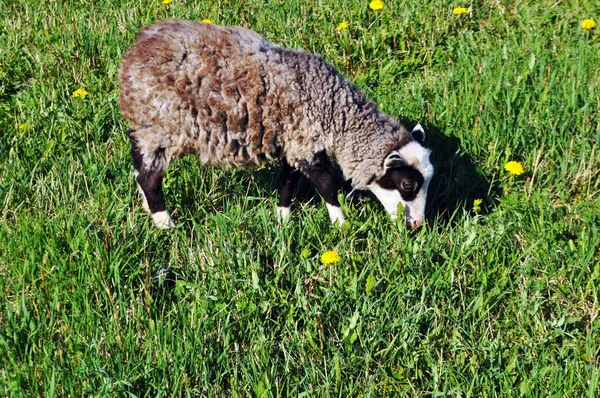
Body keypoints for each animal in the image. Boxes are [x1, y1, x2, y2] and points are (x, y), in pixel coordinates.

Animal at [119, 20, 434, 229]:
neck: (335, 111)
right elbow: (327, 184)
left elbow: (289, 182)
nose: (417, 224)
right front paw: (341, 224)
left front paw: (283, 218)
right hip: (163, 127)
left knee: (139, 166)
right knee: (149, 179)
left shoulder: (294, 141)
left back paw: (148, 207)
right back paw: (165, 224)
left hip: (147, 127)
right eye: (407, 184)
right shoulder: (305, 142)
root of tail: (133, 54)